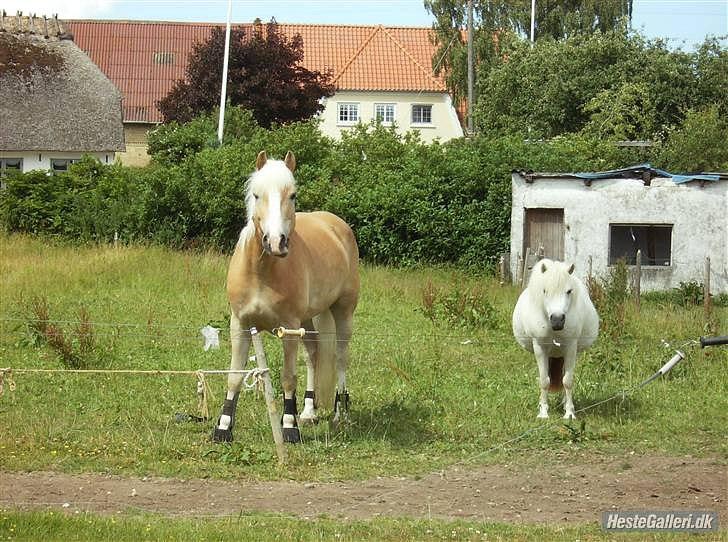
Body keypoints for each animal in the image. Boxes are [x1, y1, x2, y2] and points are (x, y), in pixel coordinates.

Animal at [212, 151, 360, 444]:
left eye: (292, 195)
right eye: (256, 195)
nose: (276, 242)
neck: (262, 272)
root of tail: (337, 225)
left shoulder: (288, 328)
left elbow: (288, 377)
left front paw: (289, 427)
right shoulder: (240, 325)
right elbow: (234, 376)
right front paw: (223, 428)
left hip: (342, 312)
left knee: (340, 358)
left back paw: (341, 414)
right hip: (309, 320)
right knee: (313, 354)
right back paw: (309, 411)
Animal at [512, 260, 596, 420]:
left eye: (569, 291)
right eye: (544, 291)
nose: (557, 320)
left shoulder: (571, 348)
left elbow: (567, 381)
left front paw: (569, 412)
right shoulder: (540, 348)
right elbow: (544, 381)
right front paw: (543, 412)